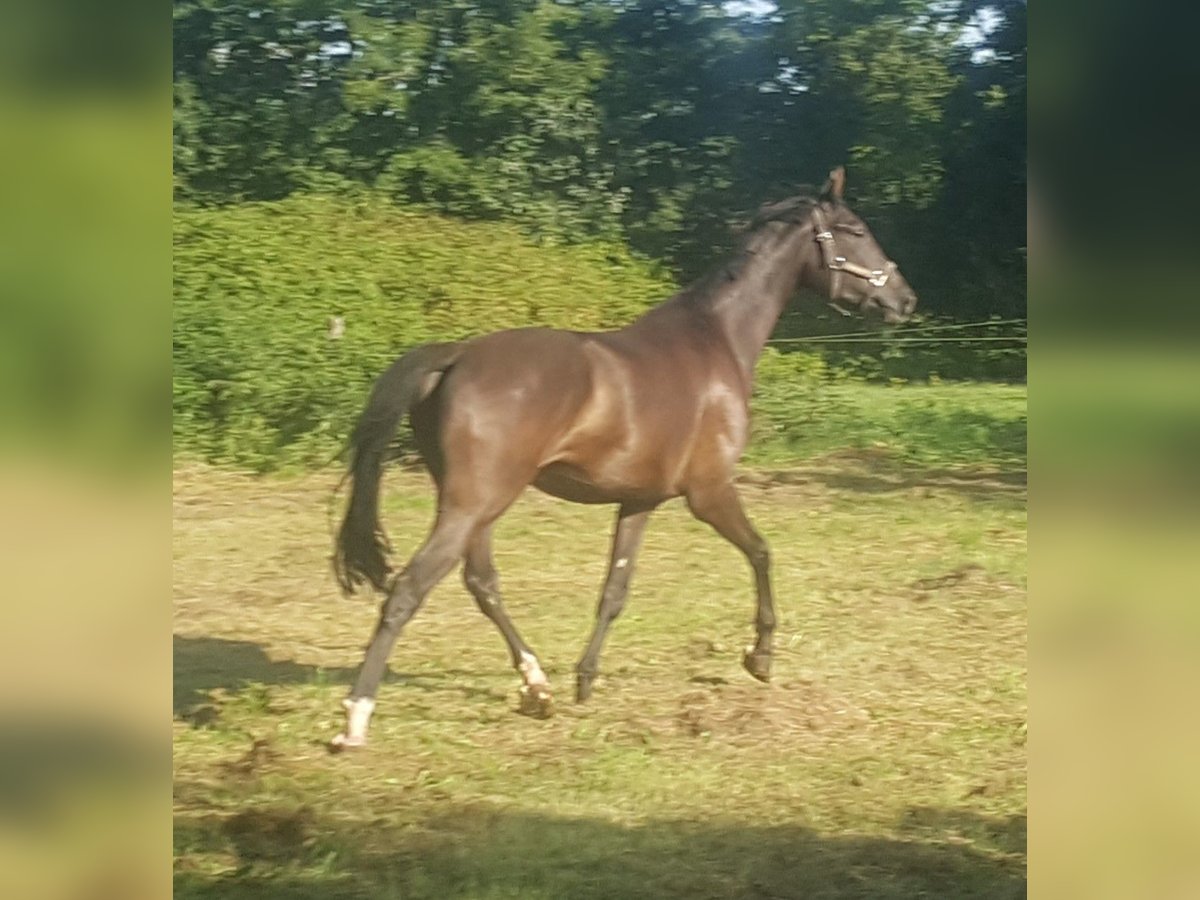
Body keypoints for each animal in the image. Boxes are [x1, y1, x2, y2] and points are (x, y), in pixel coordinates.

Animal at [328, 168, 916, 748]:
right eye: (856, 229)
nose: (905, 300)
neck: (716, 341)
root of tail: (456, 355)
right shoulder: (709, 492)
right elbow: (761, 552)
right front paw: (760, 656)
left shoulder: (639, 502)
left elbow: (614, 589)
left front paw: (586, 679)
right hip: (474, 503)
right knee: (409, 589)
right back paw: (356, 718)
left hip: (480, 505)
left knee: (482, 584)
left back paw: (537, 688)